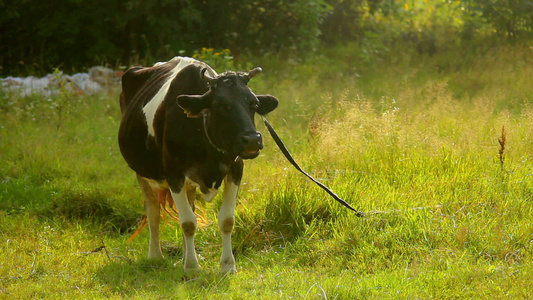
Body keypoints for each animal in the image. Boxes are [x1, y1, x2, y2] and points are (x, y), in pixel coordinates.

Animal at [117, 56, 278, 274]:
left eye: (254, 104)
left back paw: (185, 255)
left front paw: (227, 265)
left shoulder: (236, 170)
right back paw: (155, 256)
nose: (252, 140)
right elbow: (187, 223)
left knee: (188, 208)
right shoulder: (173, 174)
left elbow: (226, 220)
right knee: (153, 212)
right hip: (141, 171)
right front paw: (192, 266)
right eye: (220, 106)